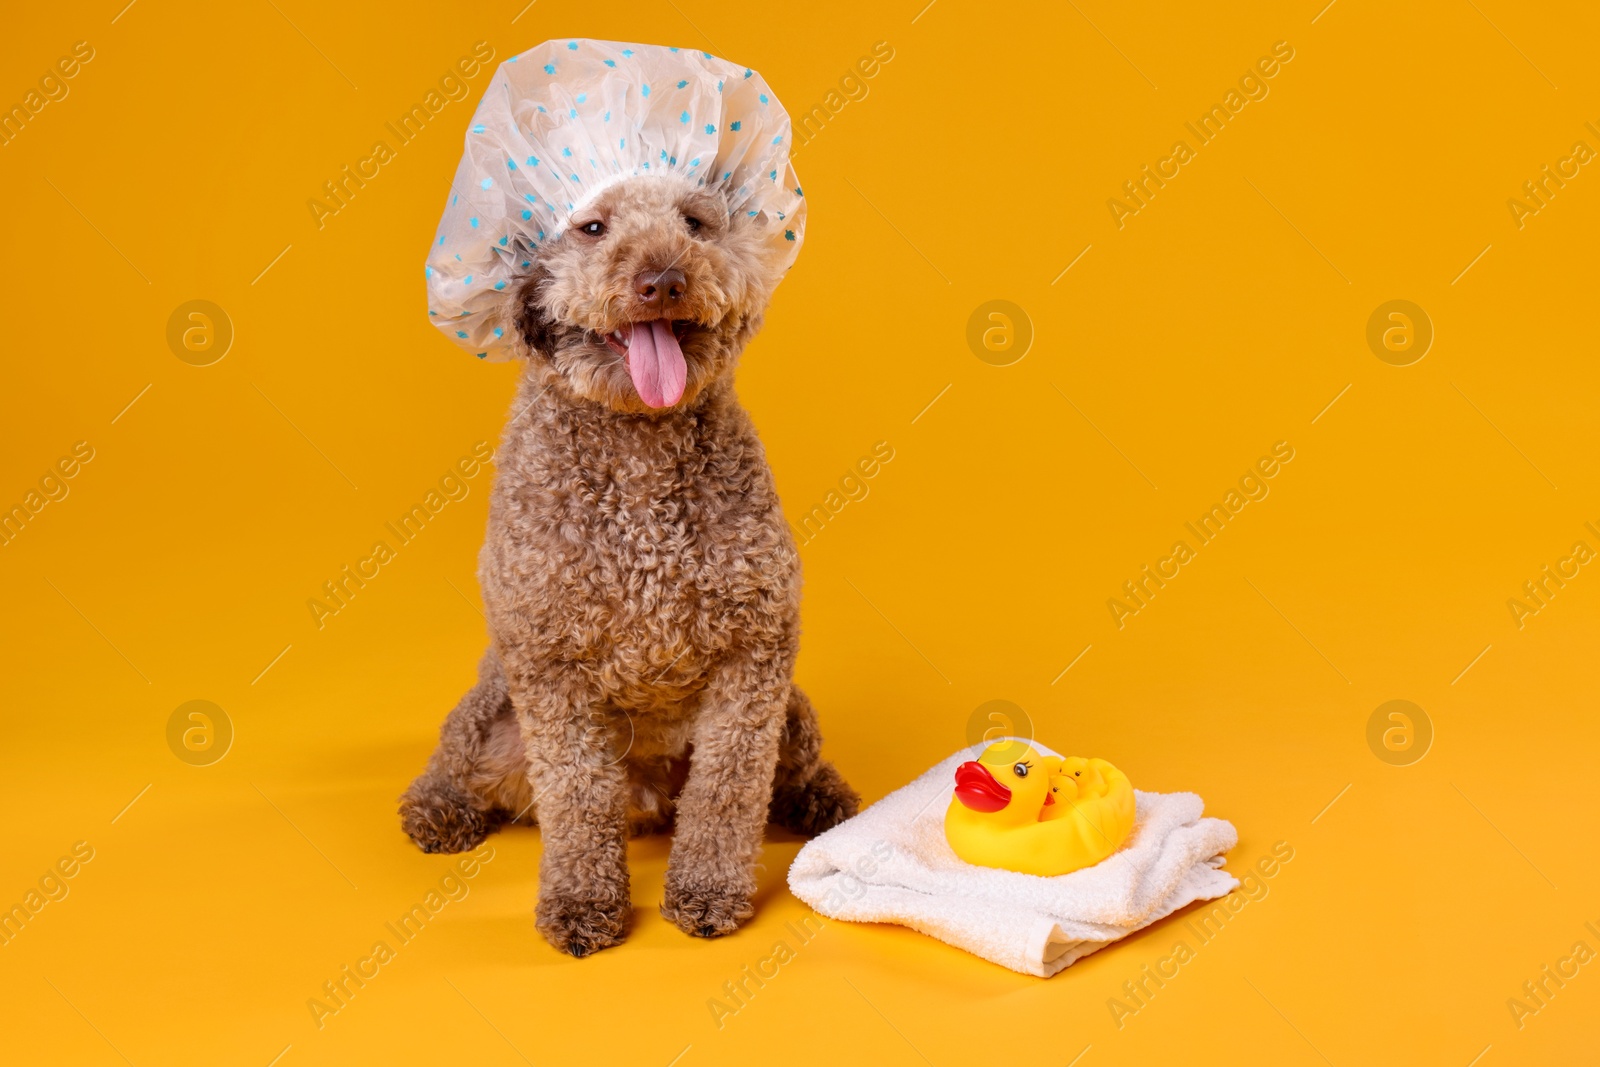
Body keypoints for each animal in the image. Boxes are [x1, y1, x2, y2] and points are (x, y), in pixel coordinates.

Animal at [396, 173, 864, 959]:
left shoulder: (756, 653)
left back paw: (822, 801)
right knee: (457, 759)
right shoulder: (548, 666)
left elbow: (727, 792)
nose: (664, 278)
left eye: (696, 223)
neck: (640, 448)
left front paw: (707, 891)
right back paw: (437, 807)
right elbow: (577, 799)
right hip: (493, 711)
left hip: (792, 708)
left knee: (790, 769)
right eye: (592, 228)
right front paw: (582, 902)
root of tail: (644, 801)